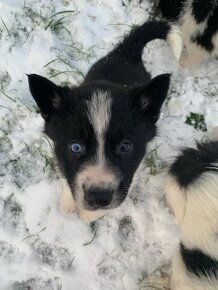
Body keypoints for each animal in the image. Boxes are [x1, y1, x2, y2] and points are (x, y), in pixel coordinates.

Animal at [27, 20, 170, 223]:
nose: (99, 198)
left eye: (125, 147)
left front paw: (88, 216)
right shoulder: (61, 156)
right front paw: (67, 204)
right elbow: (66, 175)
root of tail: (127, 52)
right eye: (75, 147)